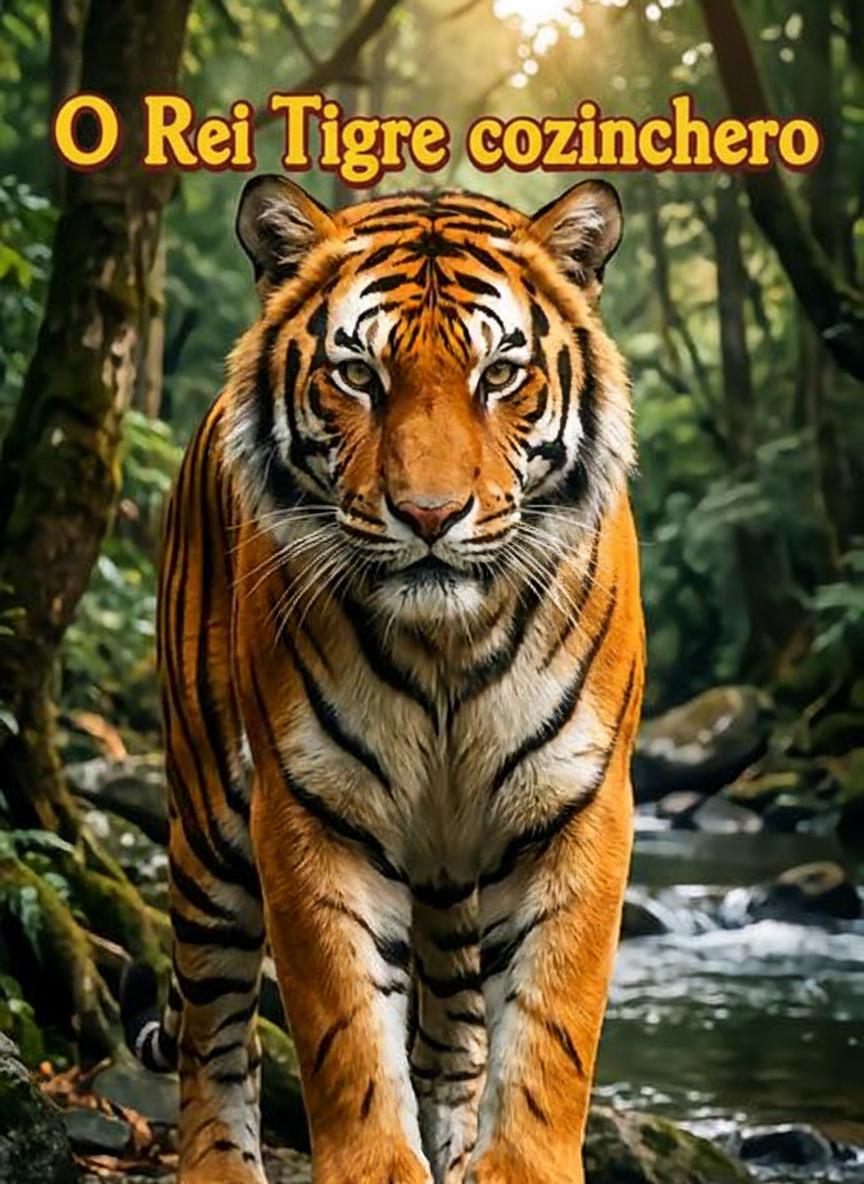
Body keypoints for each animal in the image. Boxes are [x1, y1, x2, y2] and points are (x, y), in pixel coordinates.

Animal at [121, 173, 644, 1184]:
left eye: (500, 375)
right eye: (359, 375)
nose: (431, 515)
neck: (448, 645)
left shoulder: (578, 805)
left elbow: (549, 1035)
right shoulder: (309, 810)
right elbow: (347, 1037)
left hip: (450, 880)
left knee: (455, 1041)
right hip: (206, 821)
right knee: (215, 1038)